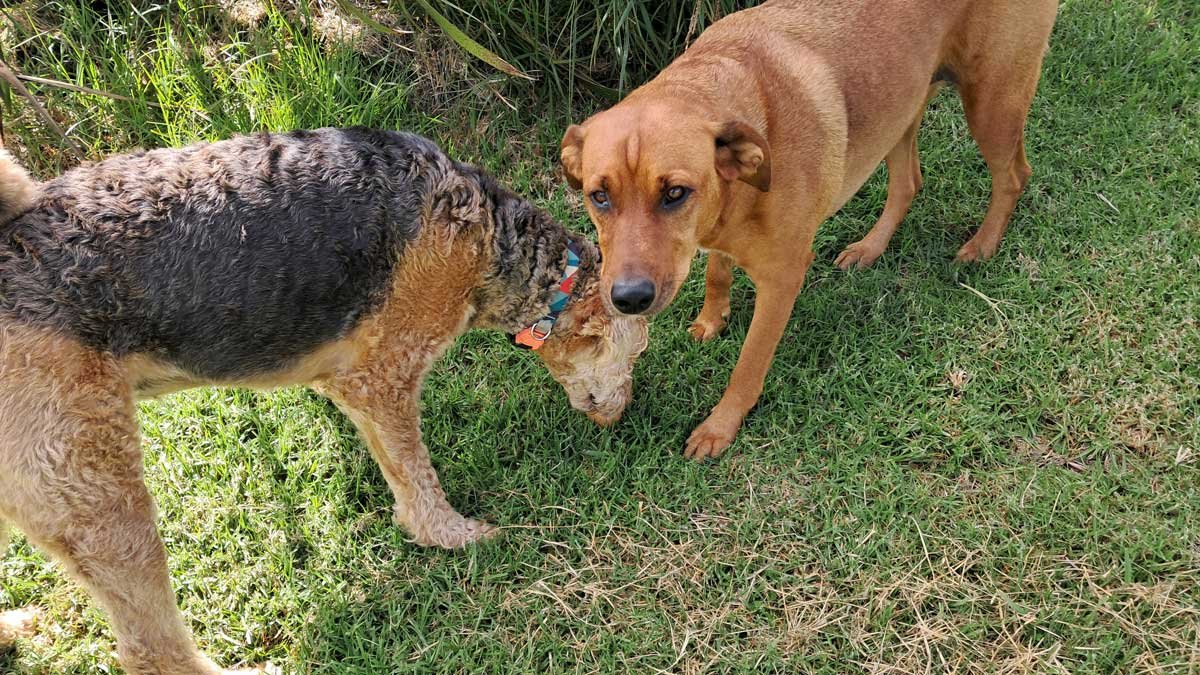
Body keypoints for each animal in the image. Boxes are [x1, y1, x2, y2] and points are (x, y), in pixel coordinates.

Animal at [0, 128, 648, 667]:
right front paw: (454, 536)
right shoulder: (381, 376)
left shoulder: (352, 386)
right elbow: (418, 479)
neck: (491, 240)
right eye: (637, 352)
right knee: (150, 650)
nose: (620, 417)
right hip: (96, 492)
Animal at [556, 0, 1056, 456]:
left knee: (1014, 175)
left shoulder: (782, 281)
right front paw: (711, 318)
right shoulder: (718, 235)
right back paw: (870, 248)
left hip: (992, 102)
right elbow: (717, 272)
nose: (629, 299)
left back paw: (982, 245)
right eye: (599, 196)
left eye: (675, 193)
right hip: (903, 107)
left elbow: (748, 365)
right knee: (909, 183)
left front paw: (720, 427)